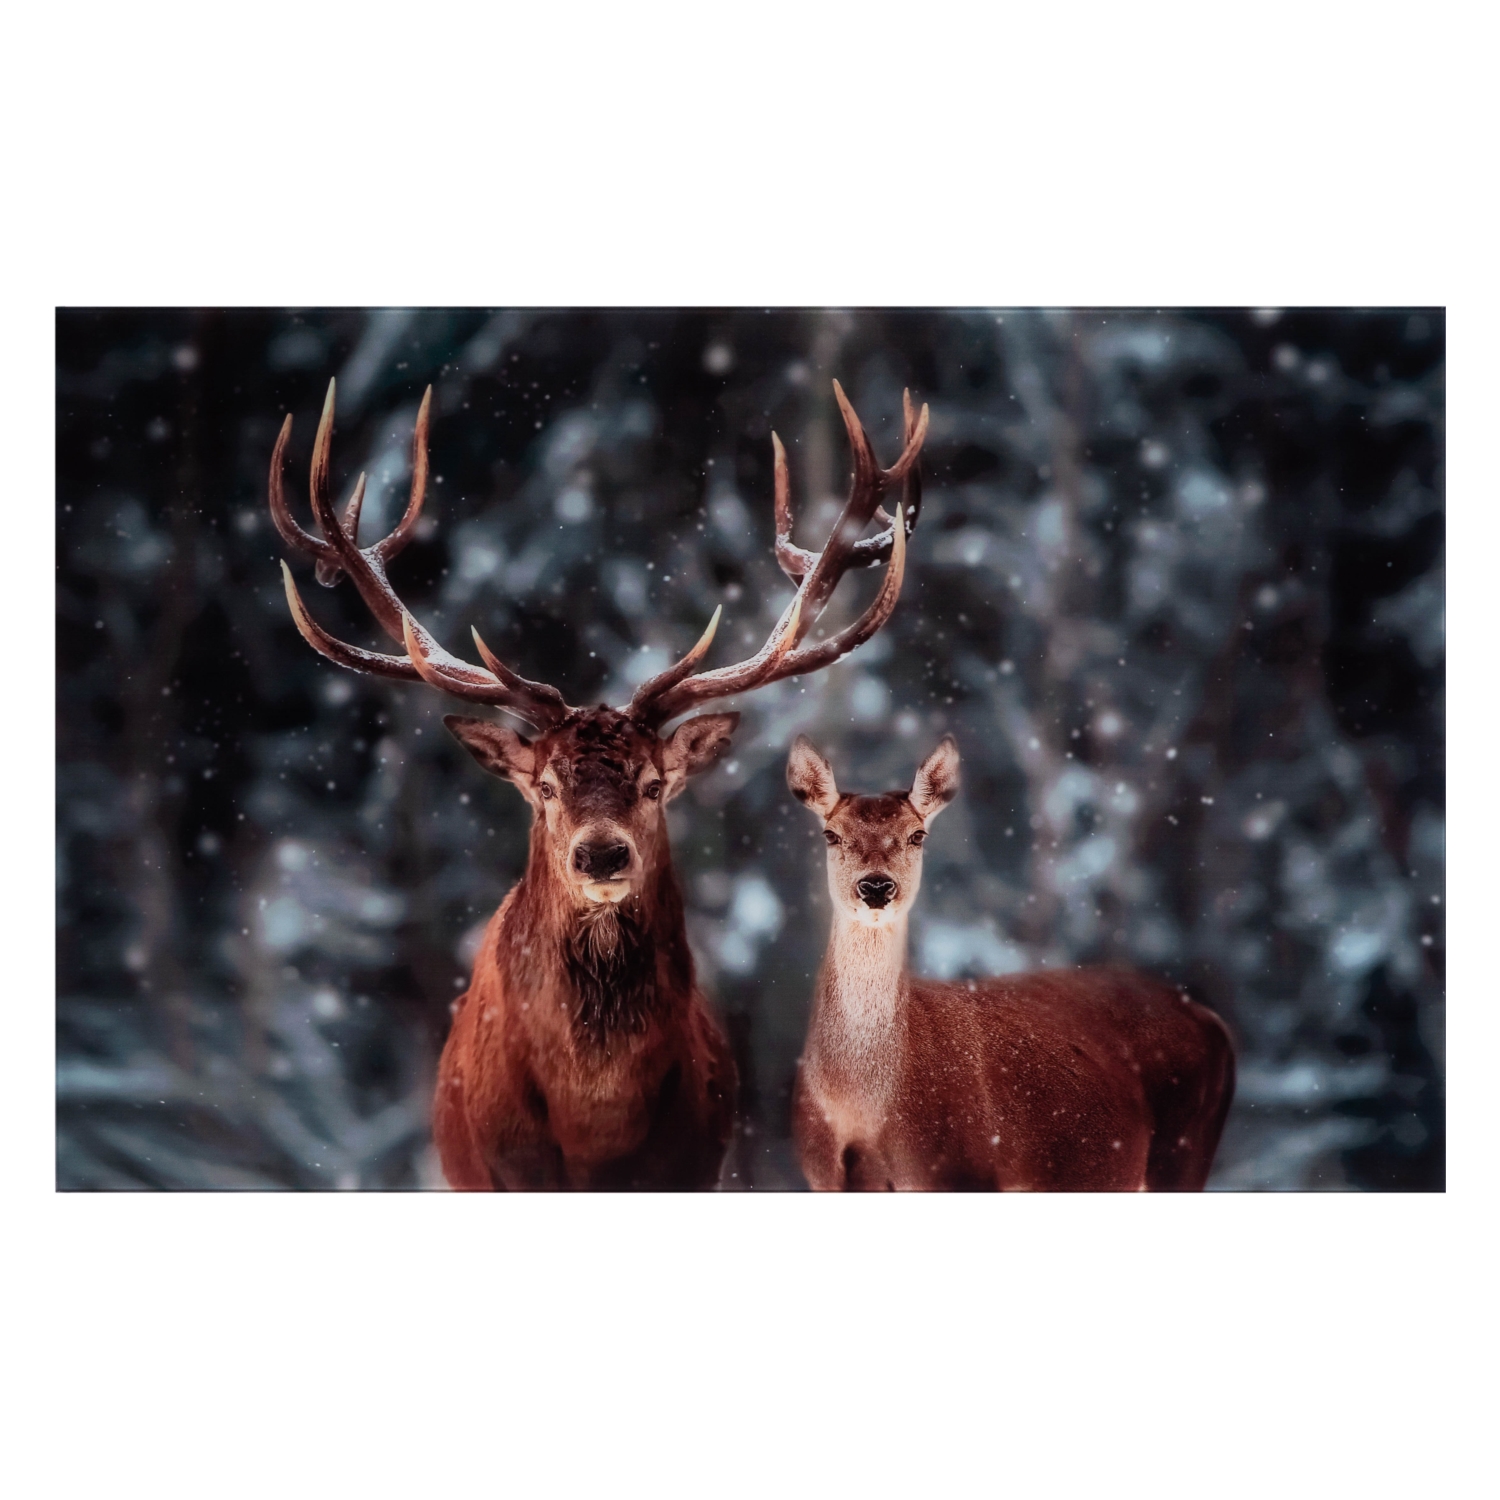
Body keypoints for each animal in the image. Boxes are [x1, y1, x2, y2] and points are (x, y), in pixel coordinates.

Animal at [786, 735, 1235, 1191]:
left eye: (917, 835)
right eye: (831, 834)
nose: (876, 886)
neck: (862, 1108)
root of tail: (1212, 1019)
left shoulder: (964, 1171)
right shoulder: (822, 1178)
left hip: (1183, 1153)